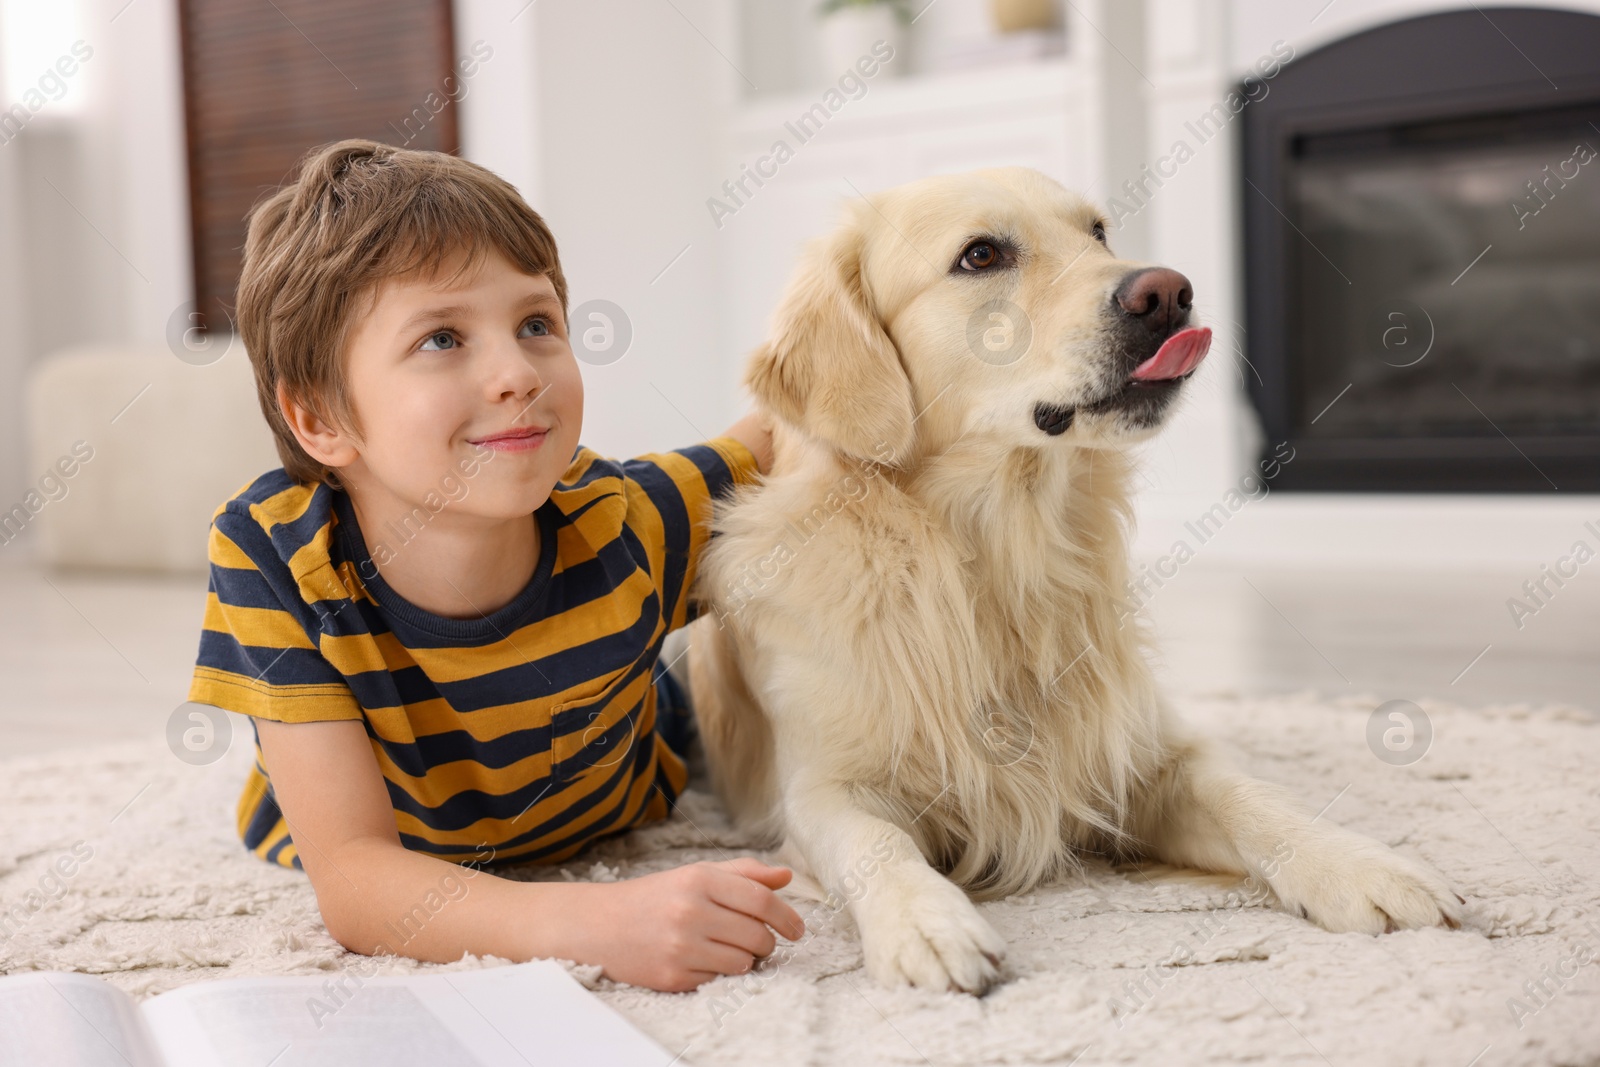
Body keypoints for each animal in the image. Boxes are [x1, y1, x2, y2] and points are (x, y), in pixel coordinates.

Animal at [681, 164, 1465, 991]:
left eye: (1098, 232)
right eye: (981, 255)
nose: (1168, 293)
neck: (998, 555)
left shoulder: (1144, 752)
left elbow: (1253, 796)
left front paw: (1363, 865)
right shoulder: (820, 787)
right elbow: (874, 843)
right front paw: (927, 923)